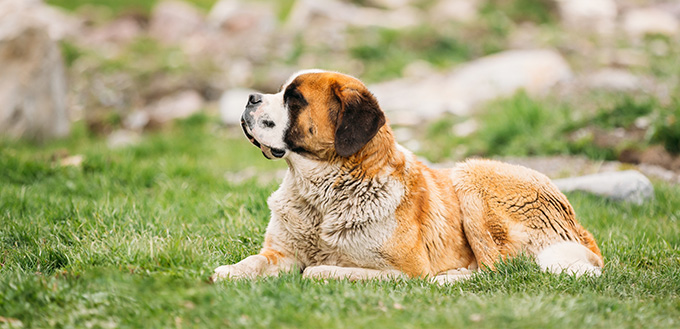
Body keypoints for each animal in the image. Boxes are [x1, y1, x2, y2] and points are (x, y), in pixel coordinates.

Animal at [211, 68, 600, 282]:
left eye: (294, 100)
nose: (250, 98)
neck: (322, 192)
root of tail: (581, 227)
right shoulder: (281, 253)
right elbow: (255, 260)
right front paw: (229, 272)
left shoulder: (405, 272)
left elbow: (319, 270)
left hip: (470, 174)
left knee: (496, 268)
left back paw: (451, 278)